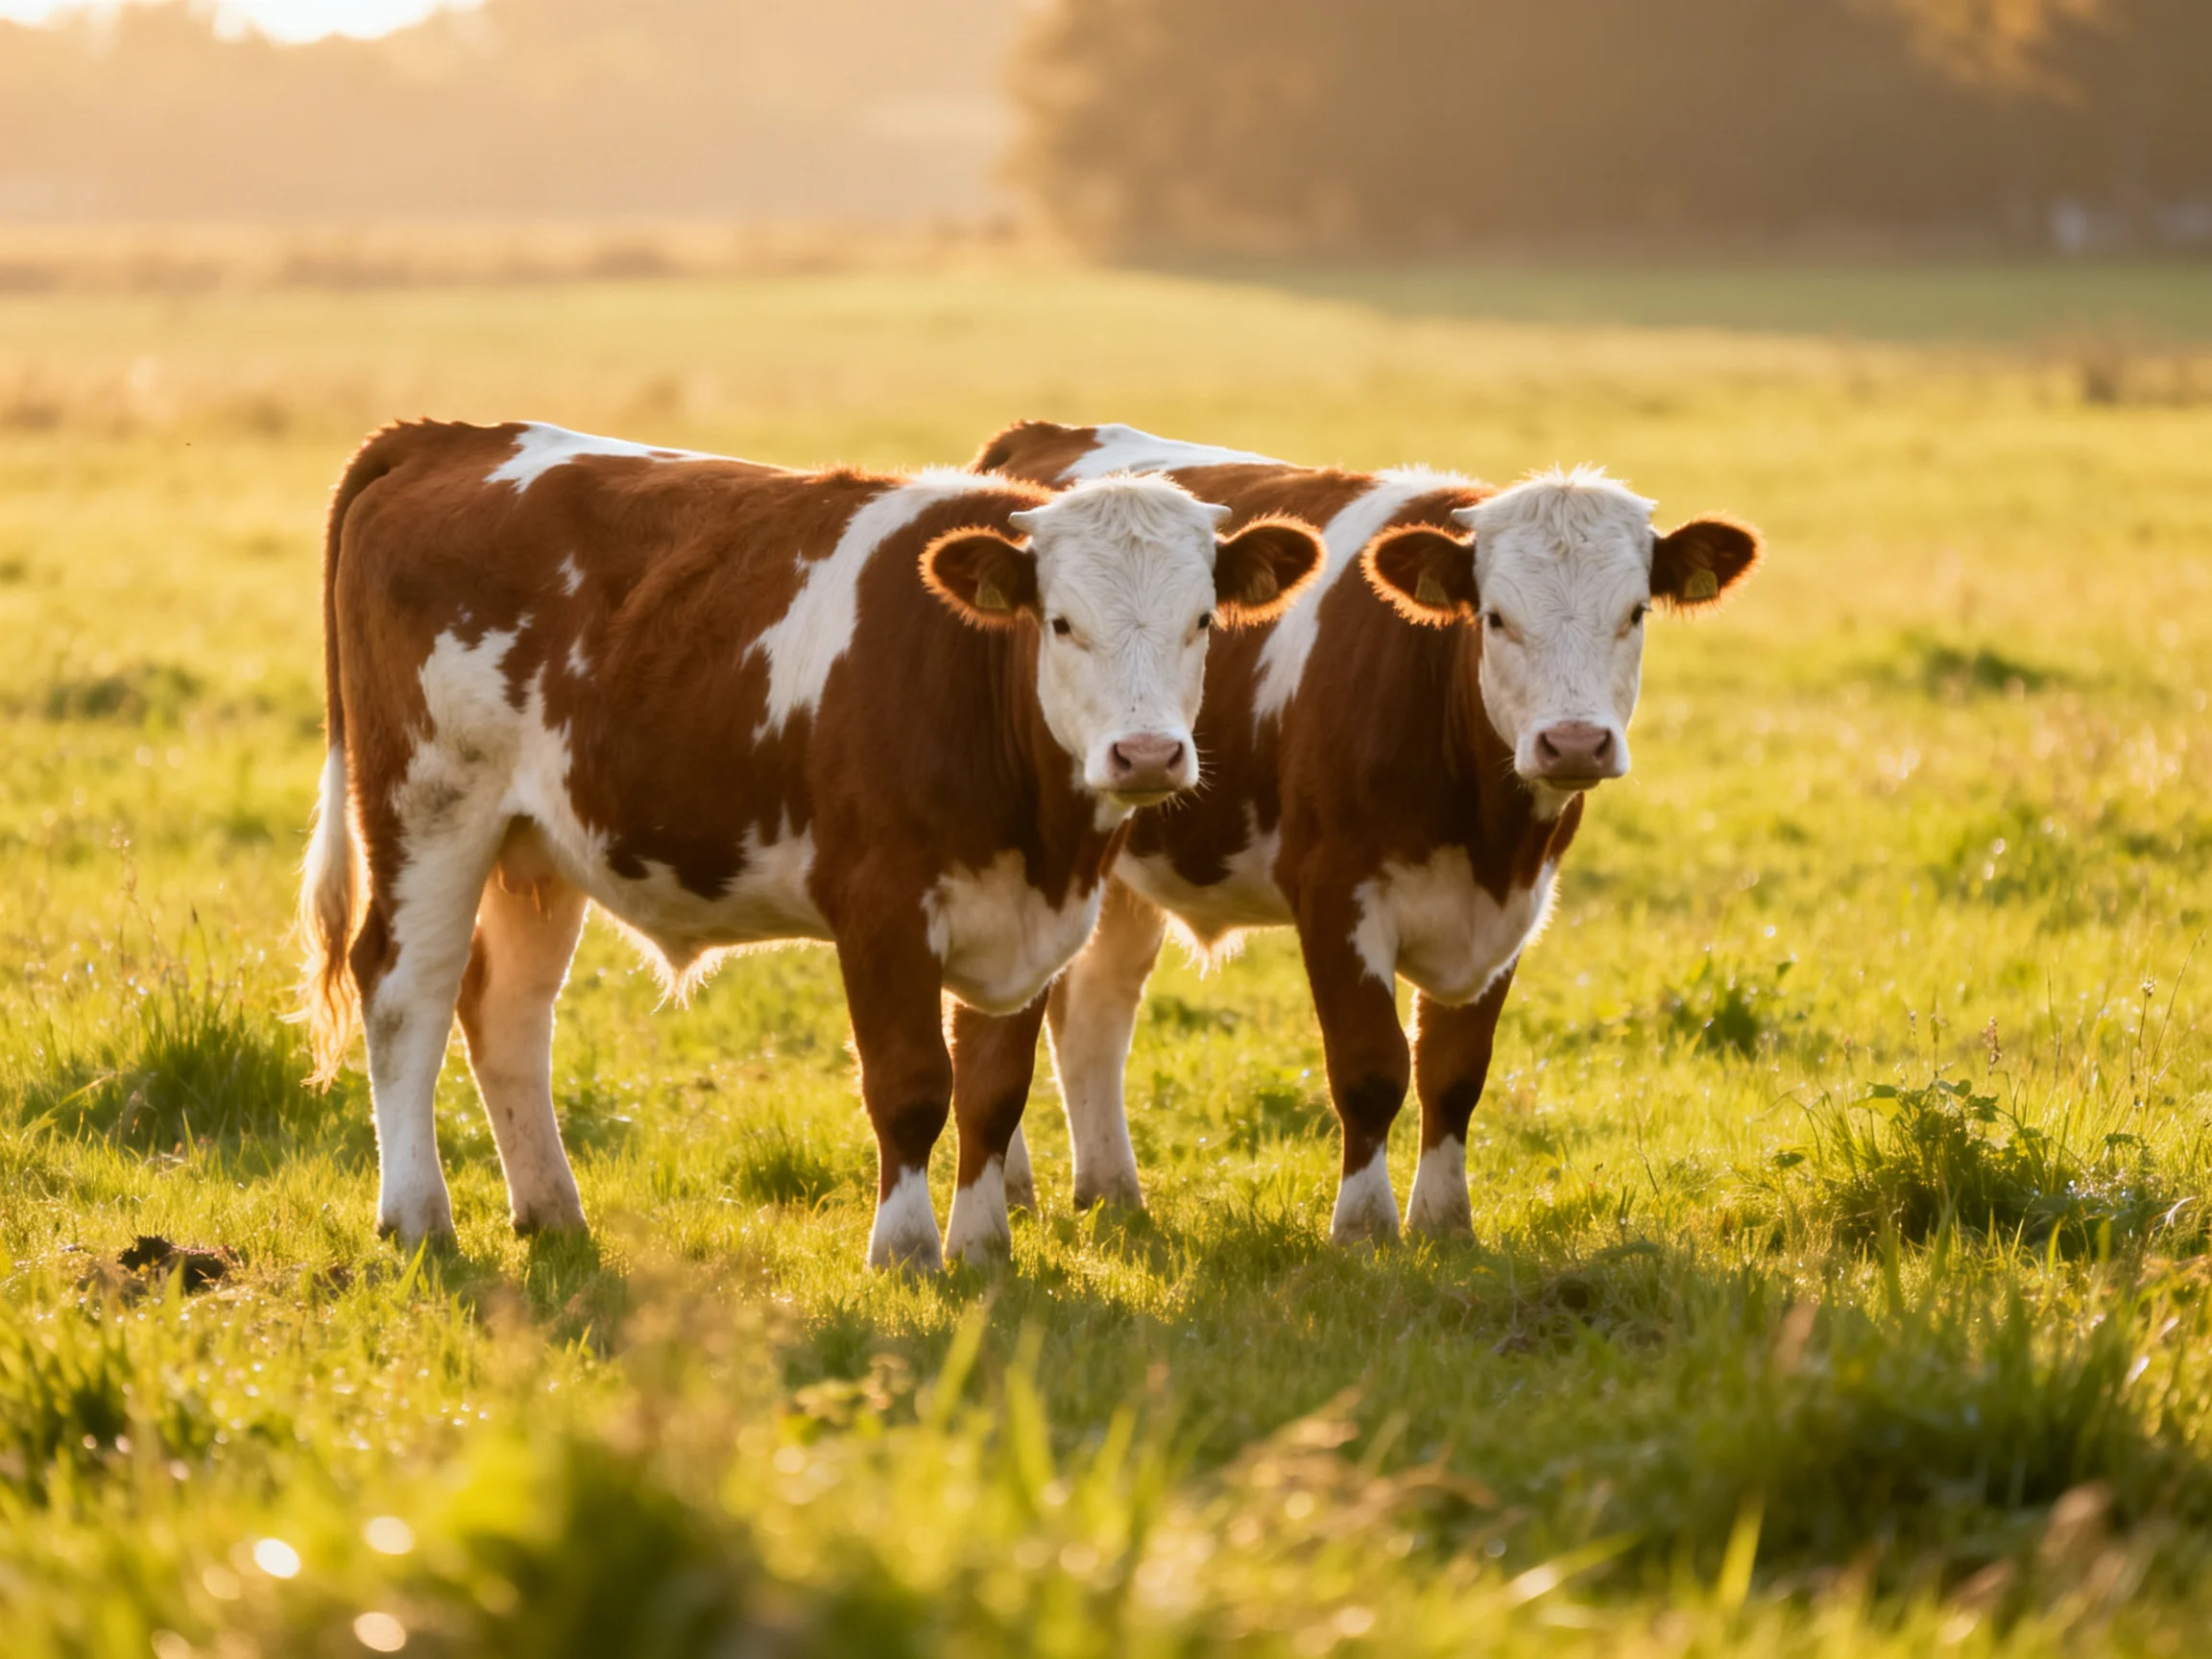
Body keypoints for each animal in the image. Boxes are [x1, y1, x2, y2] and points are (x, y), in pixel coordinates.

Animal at [296, 419, 1323, 1270]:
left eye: (1203, 621)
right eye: (1063, 624)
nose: (1147, 753)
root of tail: (446, 436)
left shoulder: (1030, 920)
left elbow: (995, 1088)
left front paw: (984, 1251)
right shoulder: (880, 908)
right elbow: (912, 1085)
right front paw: (905, 1253)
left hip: (536, 848)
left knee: (506, 1011)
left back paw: (551, 1212)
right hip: (429, 808)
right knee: (405, 994)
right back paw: (418, 1219)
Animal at [963, 421, 1761, 1243]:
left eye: (1634, 613)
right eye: (1497, 617)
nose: (1574, 743)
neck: (1484, 830)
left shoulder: (1514, 904)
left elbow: (1455, 1072)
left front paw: (1444, 1225)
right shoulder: (1335, 892)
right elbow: (1372, 1067)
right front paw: (1365, 1228)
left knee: (1092, 1013)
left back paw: (1110, 1191)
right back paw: (1018, 1189)